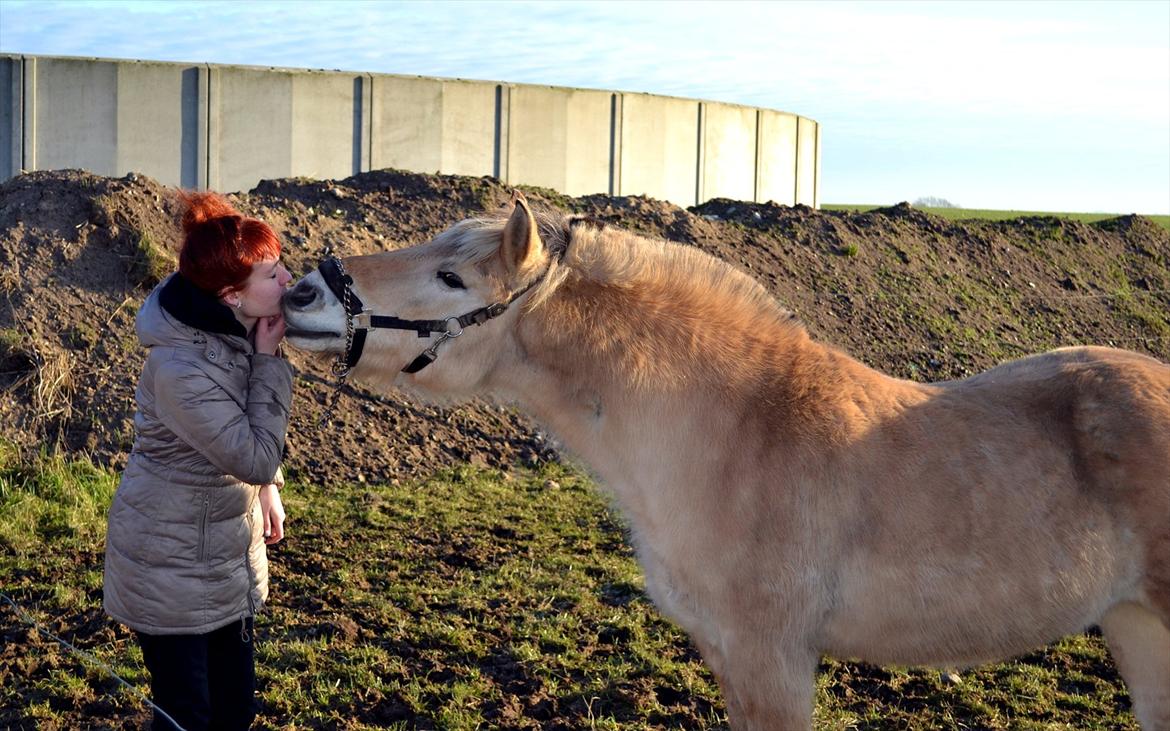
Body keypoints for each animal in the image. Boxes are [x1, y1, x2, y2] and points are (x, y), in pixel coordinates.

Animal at [283, 194, 1170, 729]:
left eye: (450, 275)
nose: (300, 292)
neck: (735, 432)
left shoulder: (772, 660)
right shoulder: (729, 657)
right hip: (1135, 627)